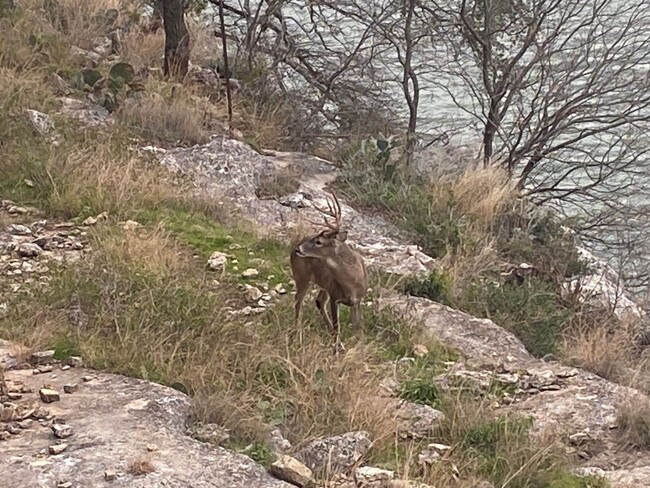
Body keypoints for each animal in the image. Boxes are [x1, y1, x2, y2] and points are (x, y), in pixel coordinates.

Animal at [290, 189, 368, 352]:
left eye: (318, 241)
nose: (298, 249)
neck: (352, 284)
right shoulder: (335, 296)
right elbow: (338, 327)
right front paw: (336, 348)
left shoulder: (357, 301)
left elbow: (359, 330)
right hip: (301, 277)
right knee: (298, 303)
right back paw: (298, 336)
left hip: (323, 284)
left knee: (319, 301)